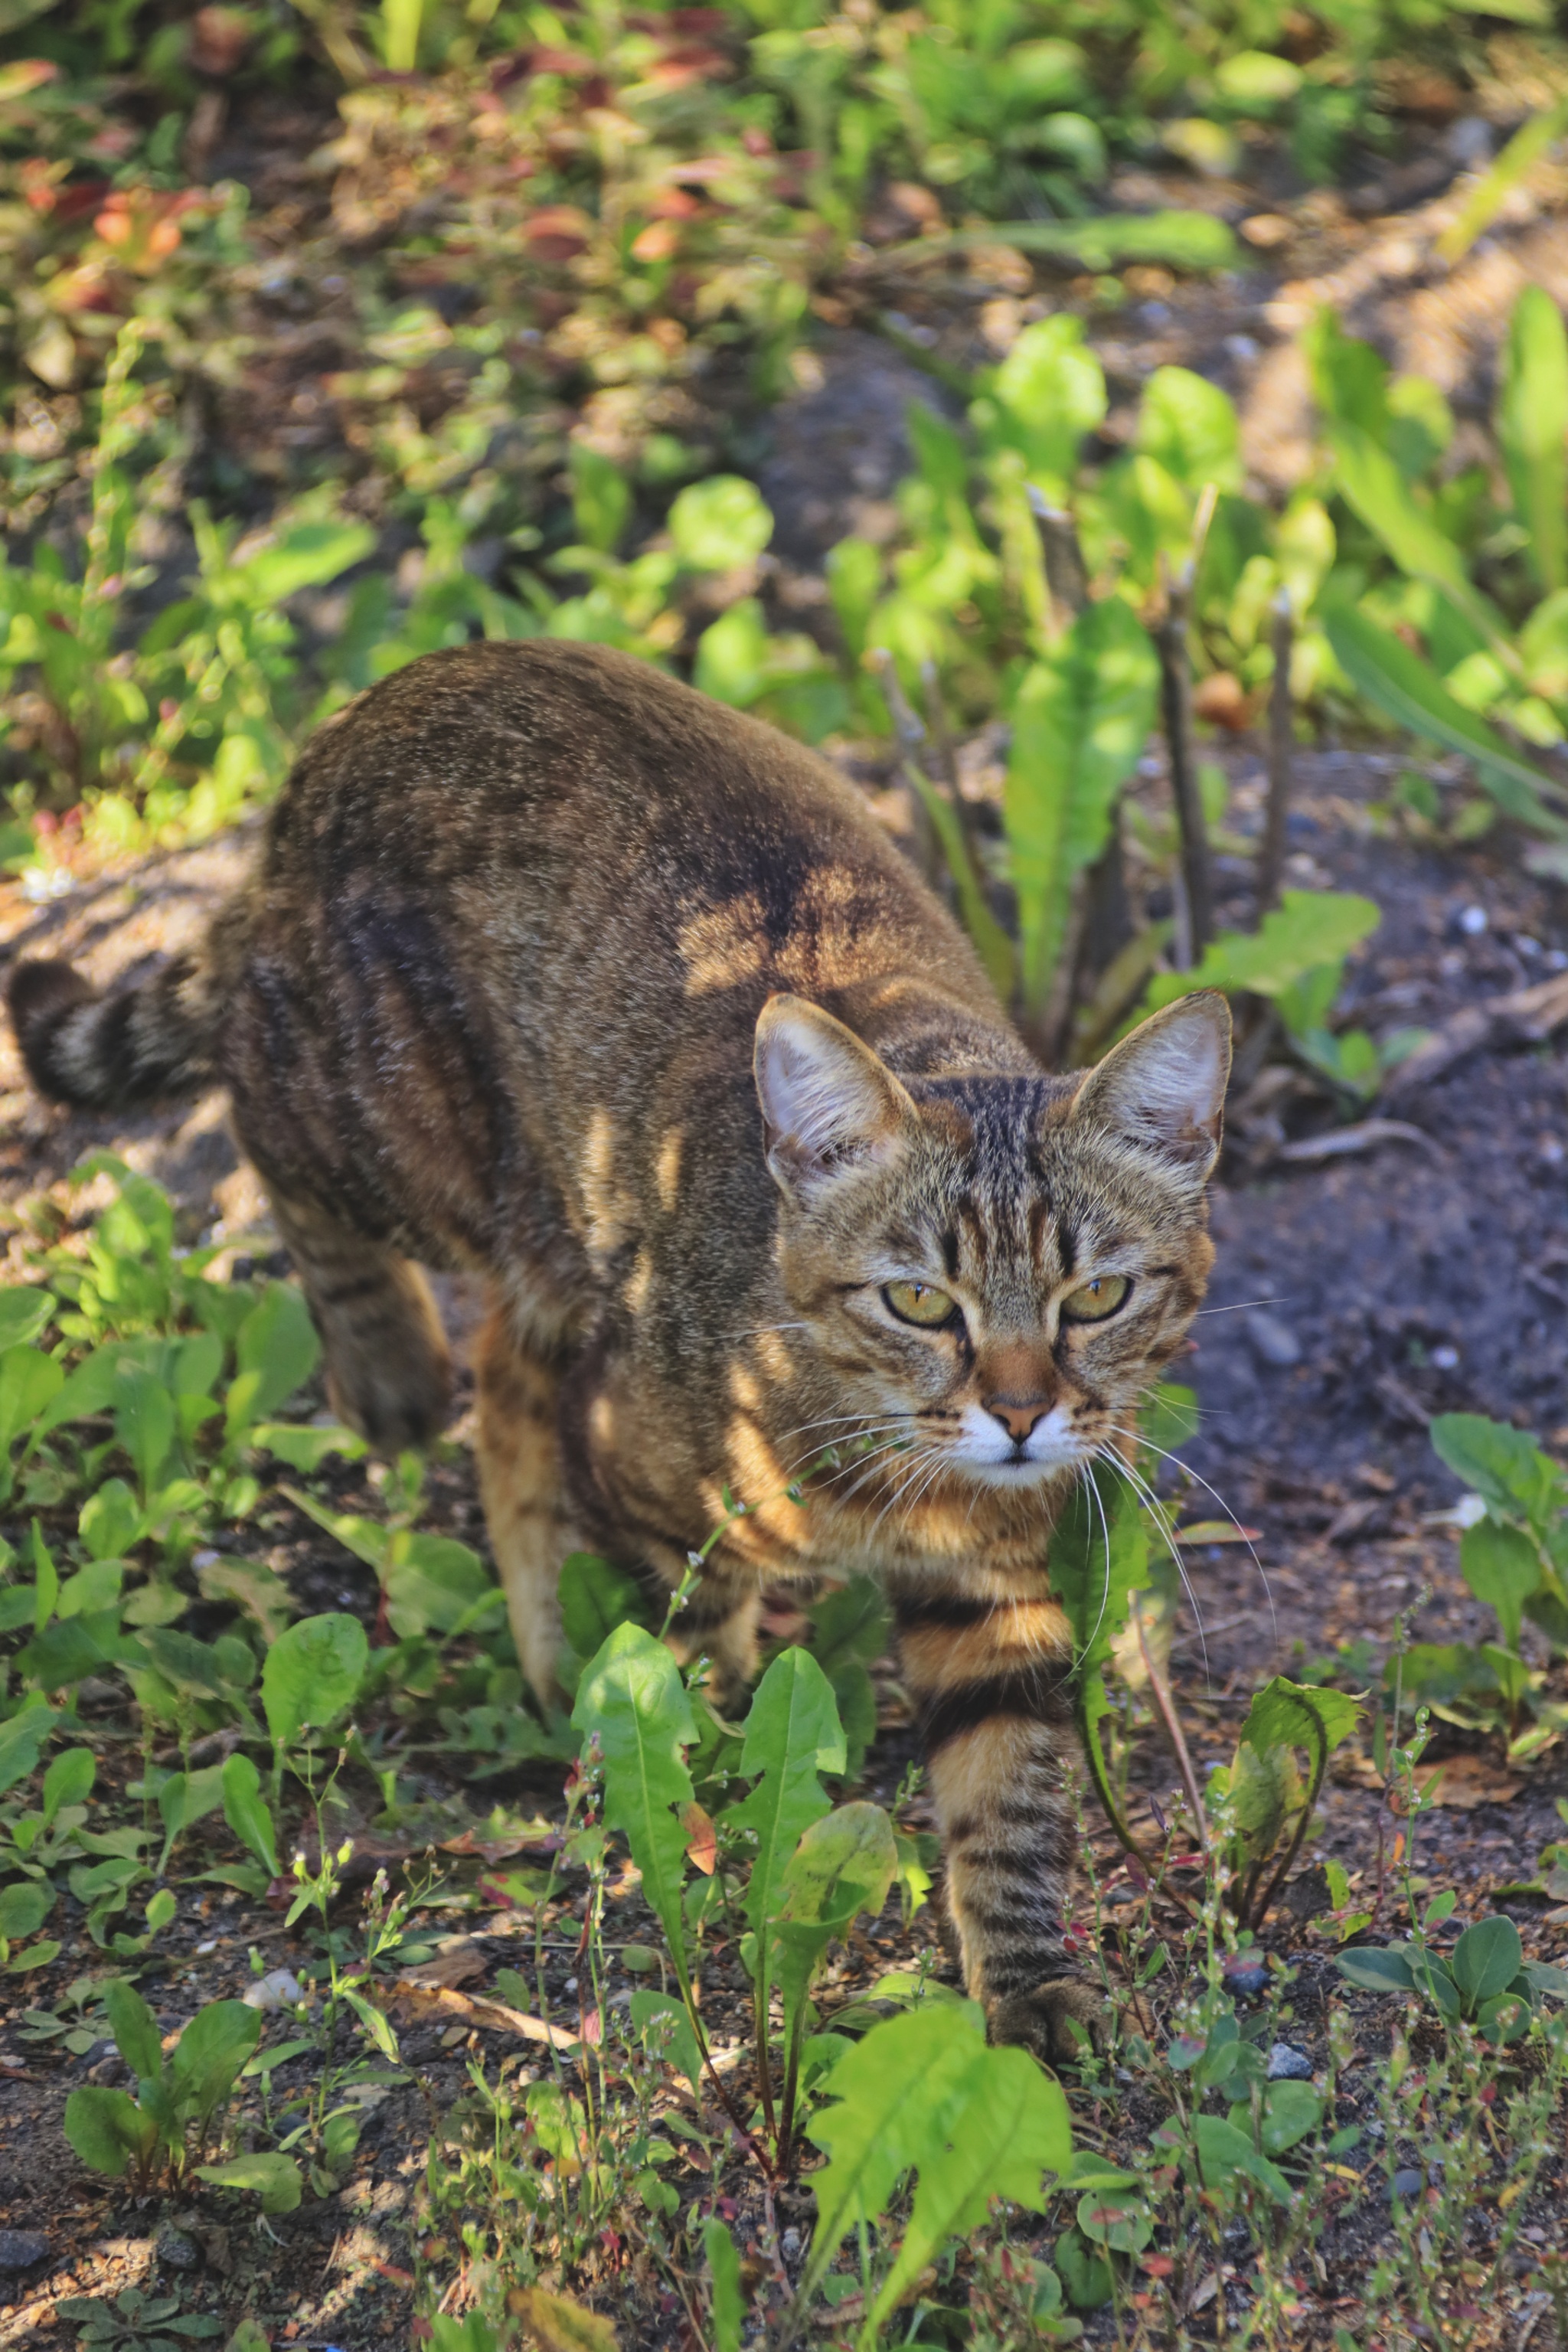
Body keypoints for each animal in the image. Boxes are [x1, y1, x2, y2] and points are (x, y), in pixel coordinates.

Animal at [8, 644, 1222, 2060]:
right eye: (921, 1302)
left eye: (1097, 1296)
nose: (1022, 1414)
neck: (893, 1479)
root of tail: (350, 732)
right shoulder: (645, 1480)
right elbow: (675, 1675)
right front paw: (695, 1791)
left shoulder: (991, 1595)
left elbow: (1007, 1797)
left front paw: (1025, 1984)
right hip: (386, 1137)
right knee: (273, 1137)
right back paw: (392, 1374)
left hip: (538, 1235)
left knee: (508, 1373)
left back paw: (540, 1637)